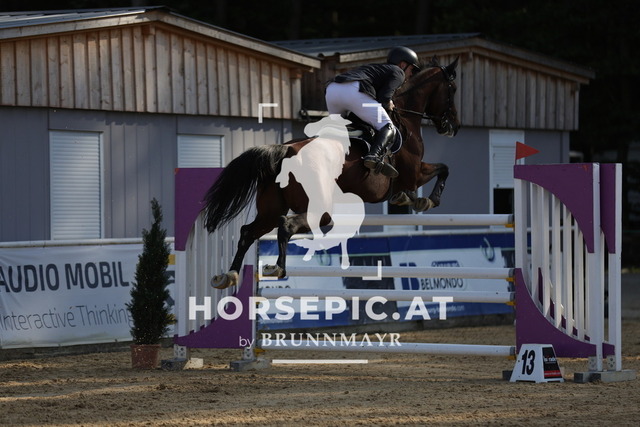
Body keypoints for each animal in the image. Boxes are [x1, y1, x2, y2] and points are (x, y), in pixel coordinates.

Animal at [203, 56, 461, 288]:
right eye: (453, 89)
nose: (454, 127)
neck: (406, 117)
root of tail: (286, 151)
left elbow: (439, 171)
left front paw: (410, 198)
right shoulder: (414, 173)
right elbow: (443, 169)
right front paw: (426, 200)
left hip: (270, 209)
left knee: (248, 232)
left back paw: (229, 275)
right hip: (320, 209)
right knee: (286, 226)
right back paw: (277, 268)